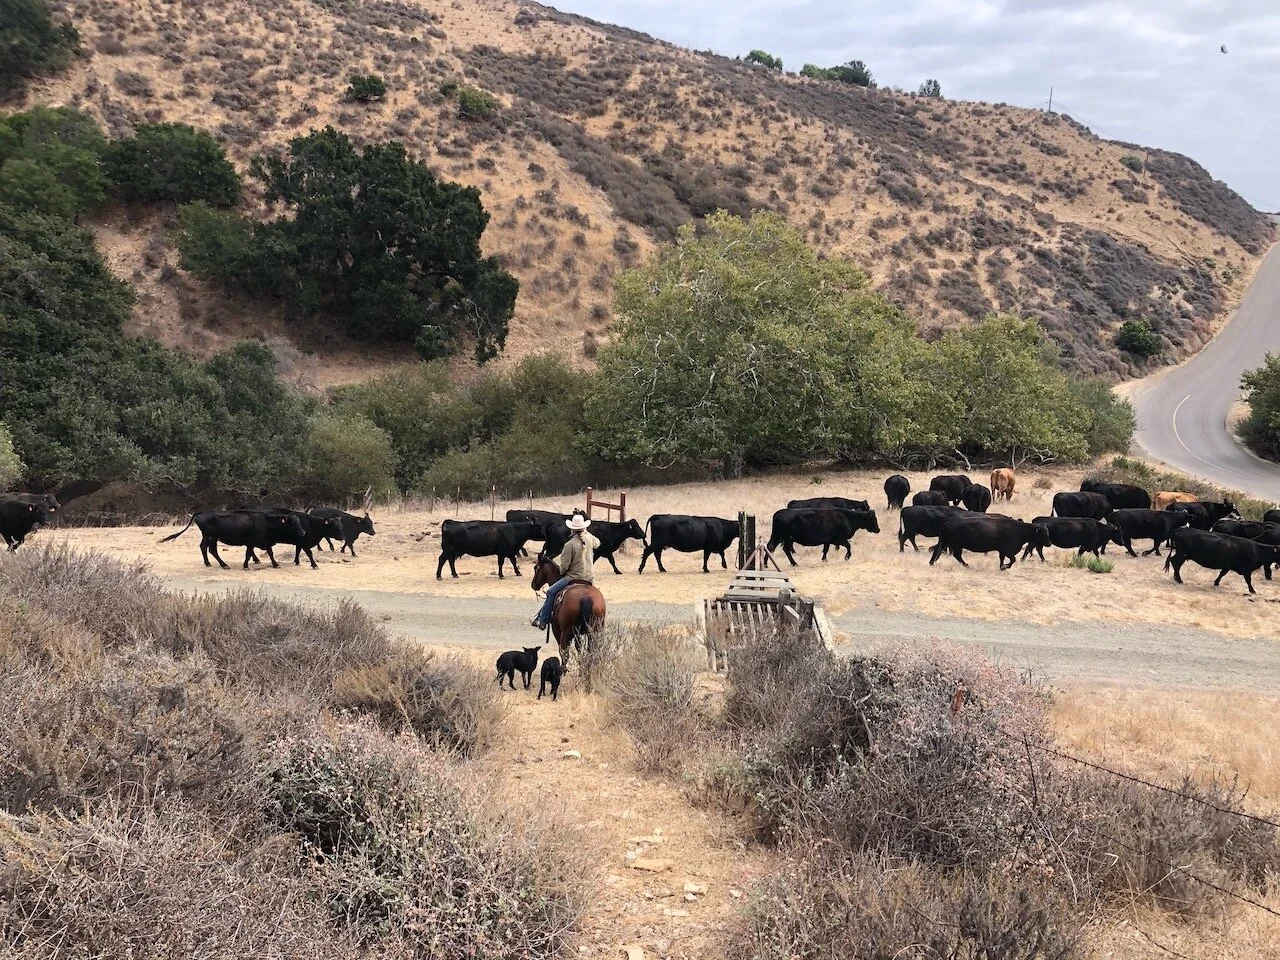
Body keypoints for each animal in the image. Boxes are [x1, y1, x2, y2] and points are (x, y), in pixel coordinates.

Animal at [159, 509, 308, 569]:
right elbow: (248, 553)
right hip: (213, 537)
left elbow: (270, 553)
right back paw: (224, 564)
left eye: (299, 521)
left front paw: (275, 564)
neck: (265, 522)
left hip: (206, 535)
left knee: (203, 547)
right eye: (292, 523)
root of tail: (202, 512)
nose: (303, 532)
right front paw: (246, 565)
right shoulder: (251, 542)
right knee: (212, 550)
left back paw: (208, 563)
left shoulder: (265, 542)